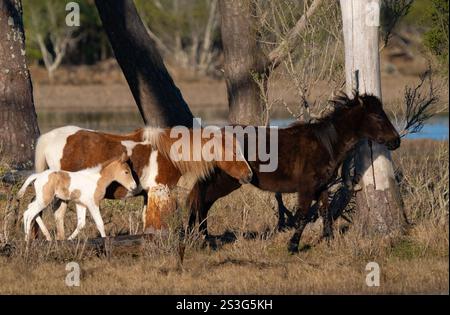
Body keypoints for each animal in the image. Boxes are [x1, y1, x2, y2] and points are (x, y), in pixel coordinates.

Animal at [34, 126, 253, 239]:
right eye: (234, 152)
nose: (249, 174)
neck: (168, 154)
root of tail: (50, 136)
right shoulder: (160, 190)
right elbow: (159, 220)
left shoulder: (149, 194)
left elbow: (148, 220)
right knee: (55, 215)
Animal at [188, 94, 402, 254]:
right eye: (378, 116)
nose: (396, 141)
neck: (327, 144)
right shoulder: (306, 188)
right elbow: (303, 215)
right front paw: (293, 245)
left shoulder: (321, 187)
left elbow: (325, 212)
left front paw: (329, 239)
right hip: (227, 181)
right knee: (202, 201)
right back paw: (202, 238)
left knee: (199, 200)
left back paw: (197, 236)